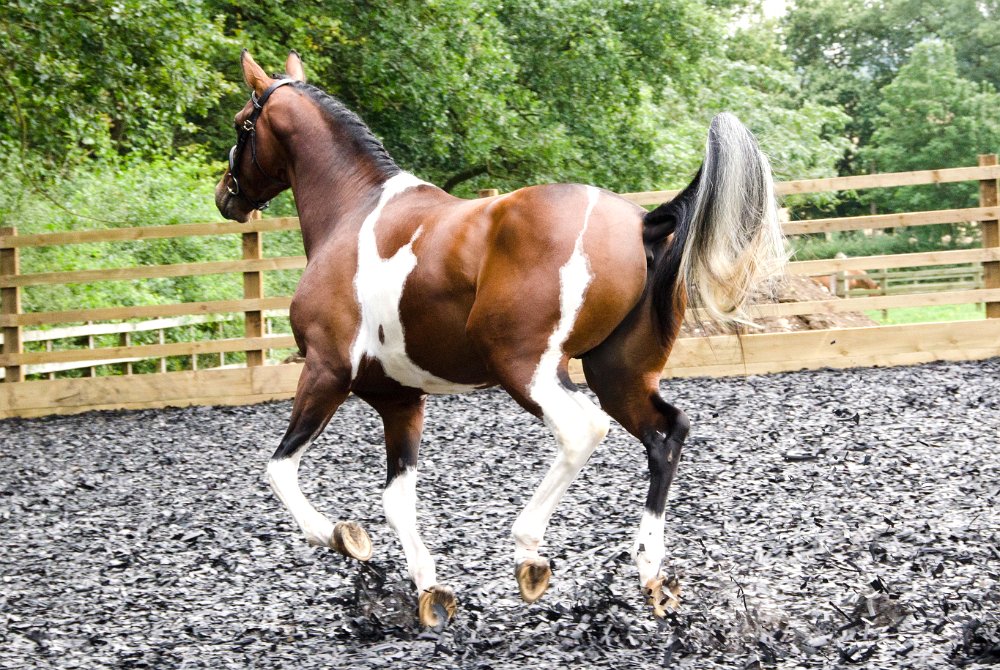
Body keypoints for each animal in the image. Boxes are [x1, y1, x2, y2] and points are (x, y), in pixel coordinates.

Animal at [215, 50, 785, 627]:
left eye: (243, 123)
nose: (225, 196)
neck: (352, 213)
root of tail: (643, 222)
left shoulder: (326, 370)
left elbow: (280, 471)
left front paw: (344, 537)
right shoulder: (398, 399)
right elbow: (398, 501)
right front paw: (430, 591)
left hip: (525, 368)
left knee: (583, 430)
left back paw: (529, 552)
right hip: (617, 374)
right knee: (666, 435)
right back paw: (651, 574)